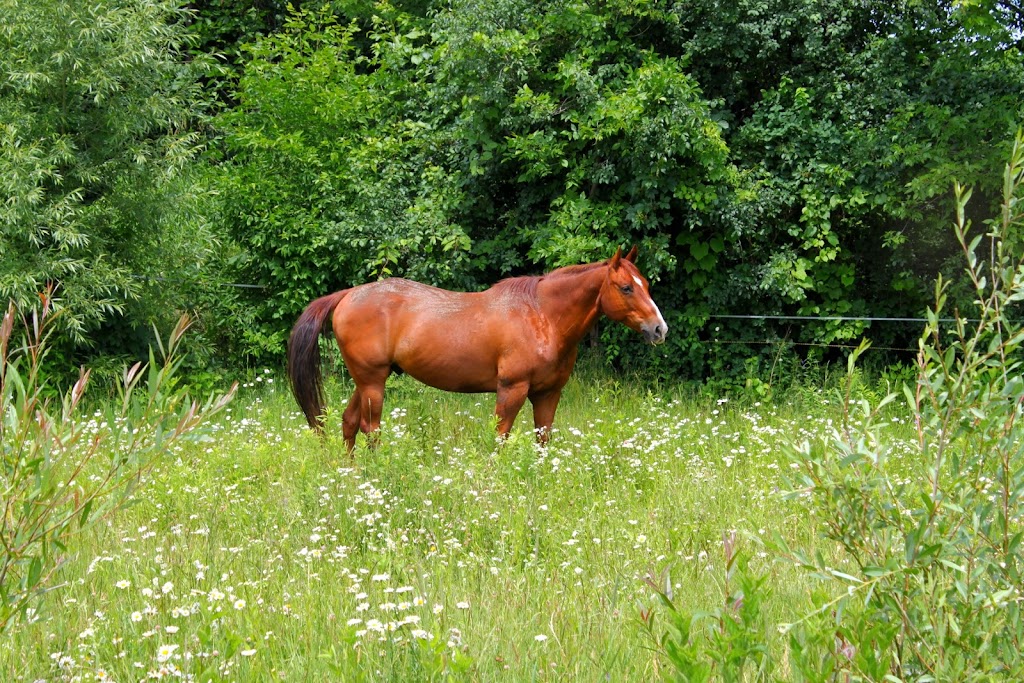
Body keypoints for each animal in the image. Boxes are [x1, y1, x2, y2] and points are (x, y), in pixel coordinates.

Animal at [288, 248, 667, 450]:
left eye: (646, 284)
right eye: (626, 288)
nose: (659, 328)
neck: (541, 315)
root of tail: (348, 295)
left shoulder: (548, 394)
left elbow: (543, 441)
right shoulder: (512, 390)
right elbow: (500, 437)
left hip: (367, 381)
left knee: (349, 422)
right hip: (372, 383)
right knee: (370, 428)